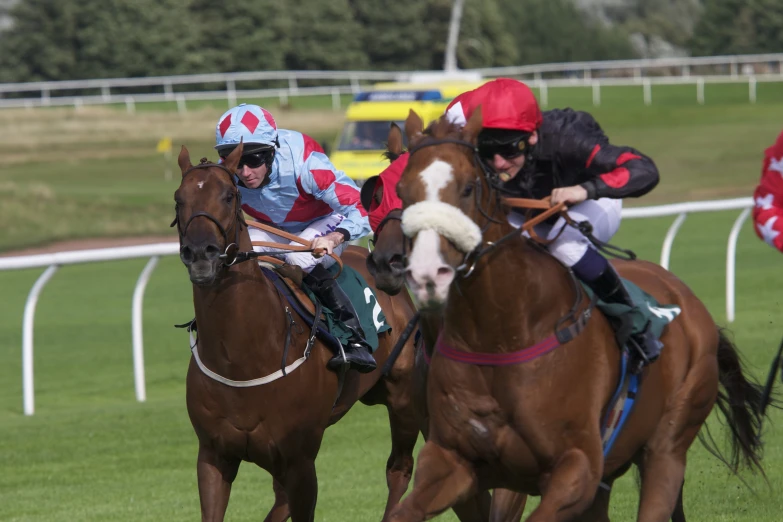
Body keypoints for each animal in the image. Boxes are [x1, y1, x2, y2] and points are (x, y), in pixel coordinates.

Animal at [174, 143, 422, 520]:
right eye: (178, 199)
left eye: (229, 196)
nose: (201, 253)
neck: (242, 358)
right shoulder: (214, 456)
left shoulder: (301, 460)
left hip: (403, 396)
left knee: (400, 468)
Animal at [382, 107, 768, 516]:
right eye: (402, 191)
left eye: (468, 187)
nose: (427, 272)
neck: (500, 334)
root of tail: (690, 302)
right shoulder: (451, 460)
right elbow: (407, 509)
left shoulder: (576, 467)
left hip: (668, 443)